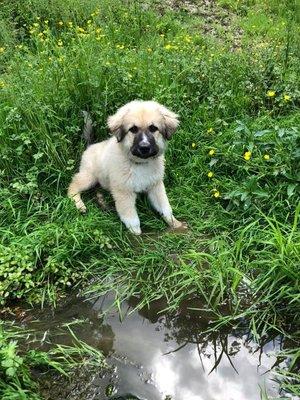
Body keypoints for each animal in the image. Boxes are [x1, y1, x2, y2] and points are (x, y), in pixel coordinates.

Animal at [68, 101, 185, 234]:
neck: (140, 164)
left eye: (153, 128)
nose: (144, 147)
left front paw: (176, 225)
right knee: (73, 186)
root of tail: (90, 146)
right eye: (133, 129)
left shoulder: (156, 186)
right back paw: (79, 205)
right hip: (88, 177)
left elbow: (166, 209)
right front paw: (137, 235)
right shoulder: (124, 193)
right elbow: (133, 220)